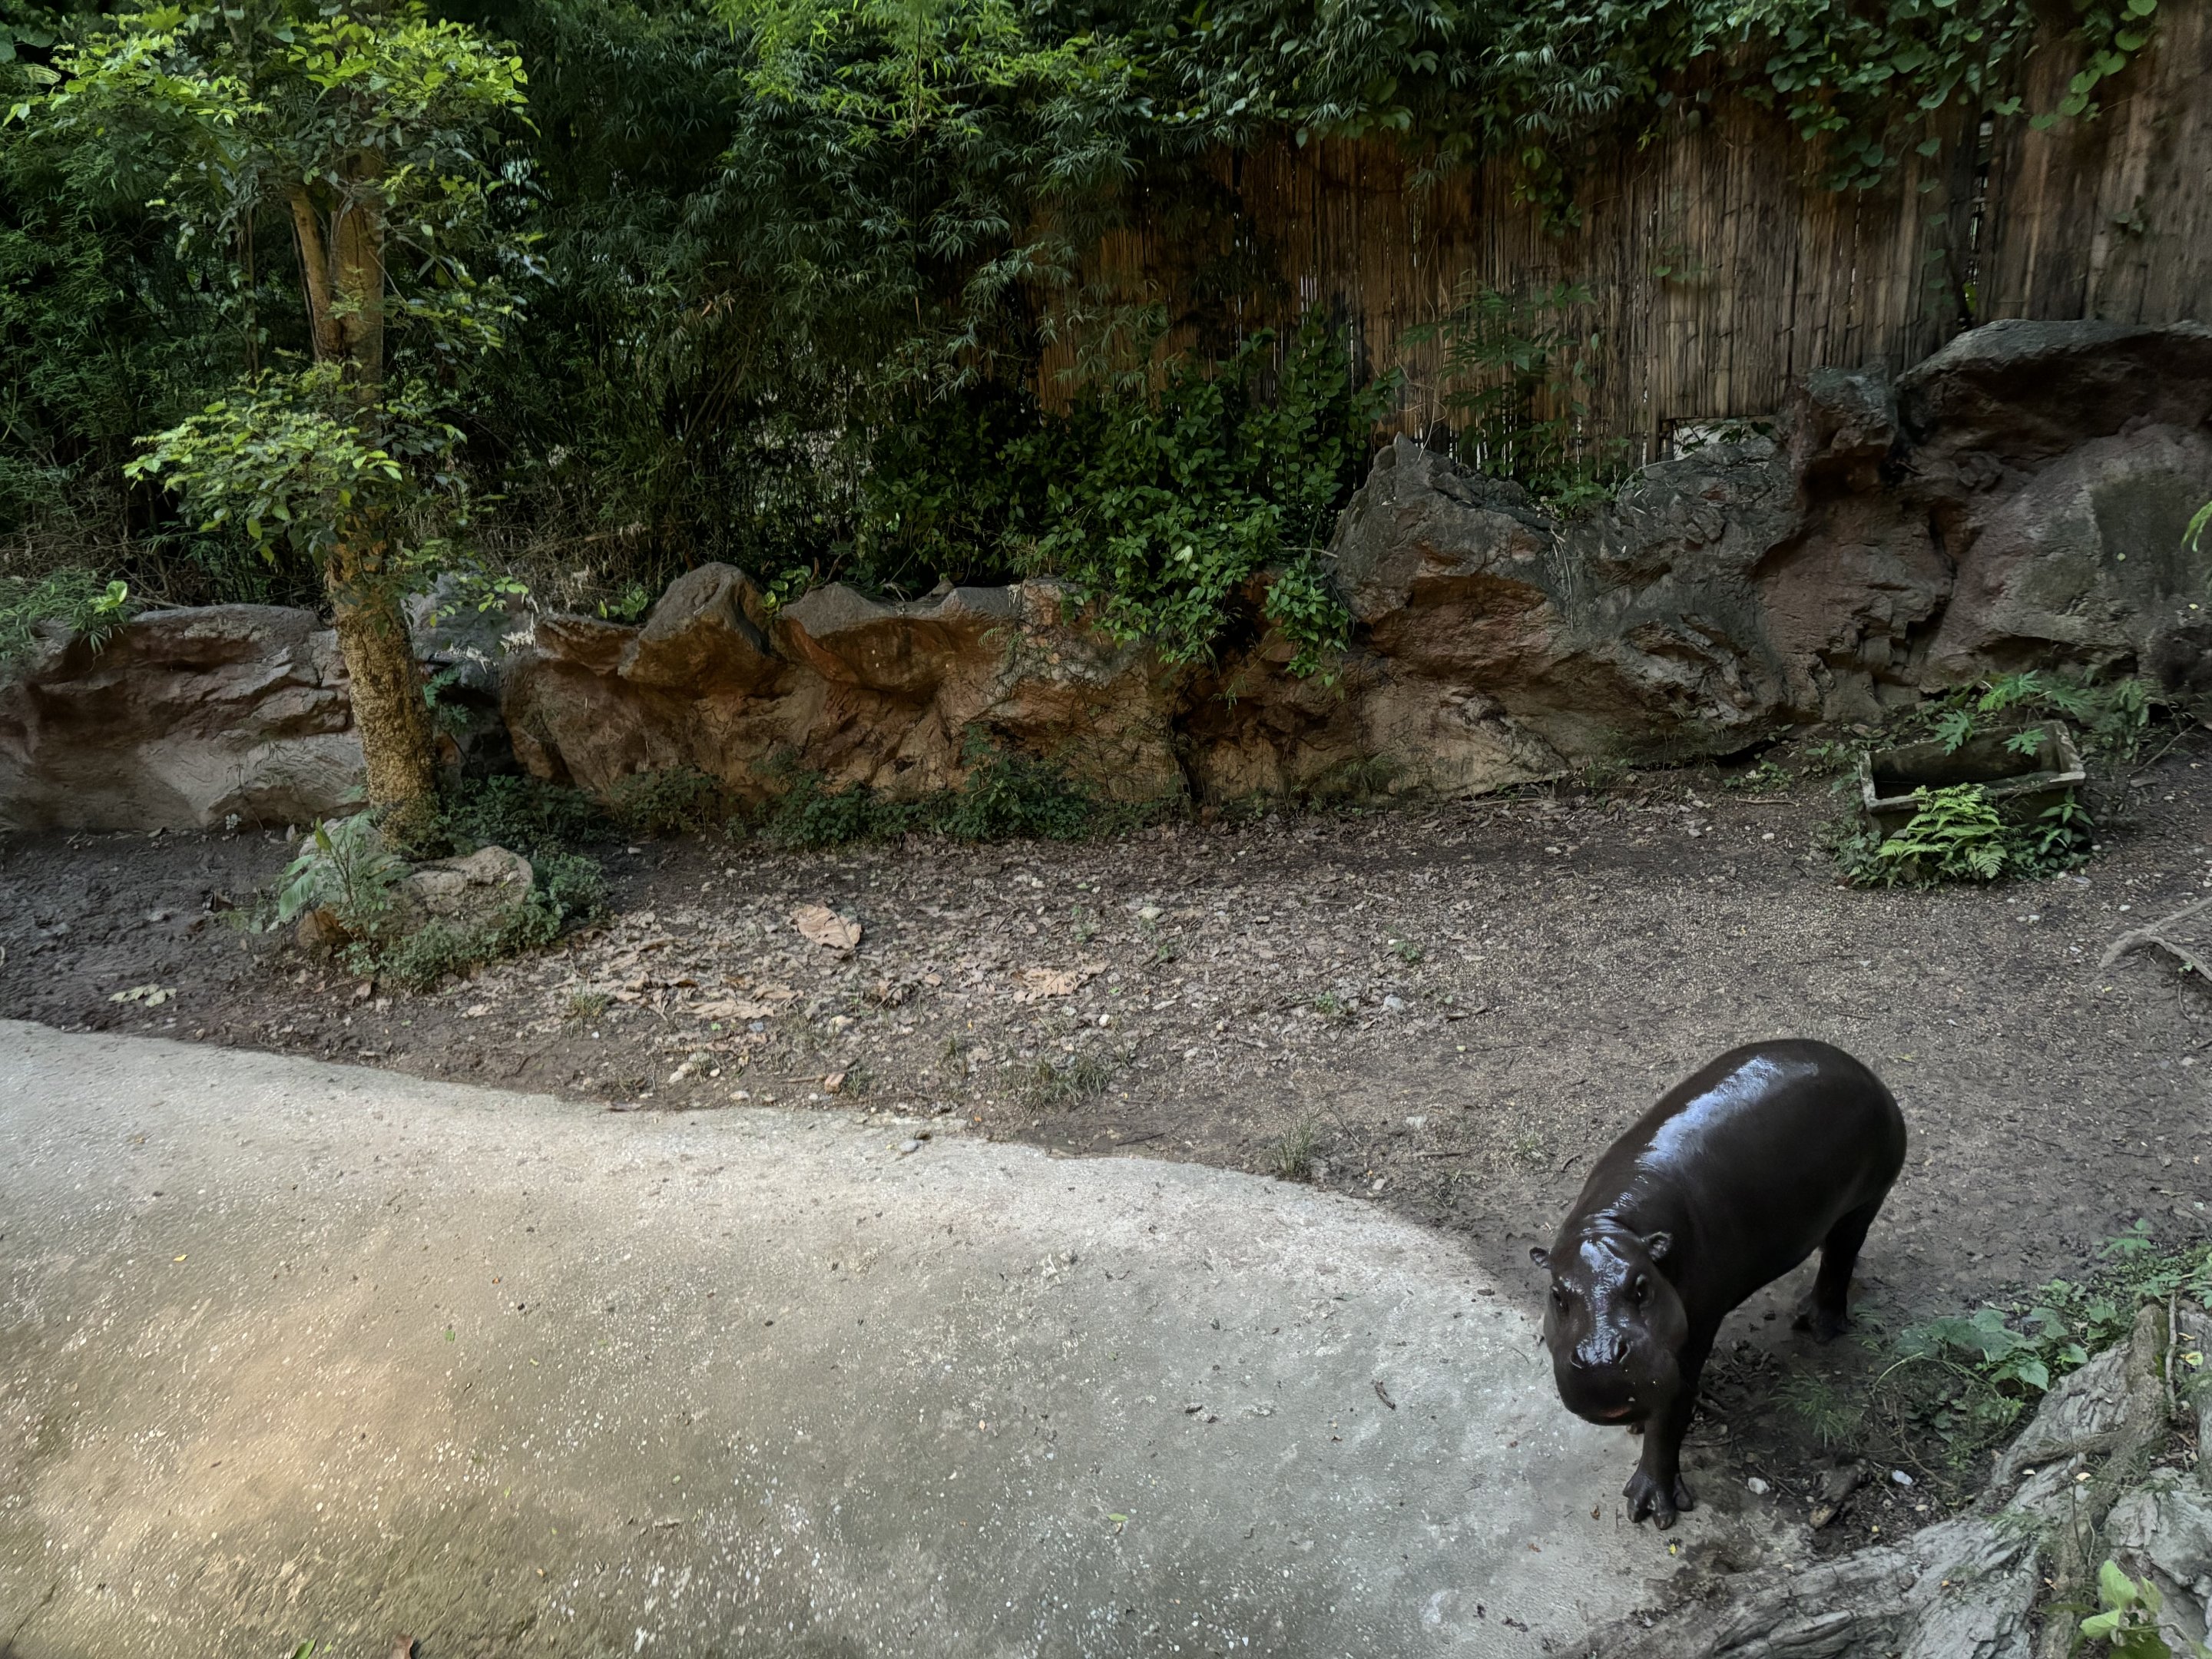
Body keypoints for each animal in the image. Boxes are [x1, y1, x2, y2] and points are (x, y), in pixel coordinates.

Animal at [1531, 1039, 1907, 1527]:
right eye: (1557, 1294)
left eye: (1641, 1287)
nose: (1600, 1362)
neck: (1617, 1226)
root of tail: (1859, 1066)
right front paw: (1637, 1423)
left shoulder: (1696, 1327)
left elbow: (1672, 1411)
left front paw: (1652, 1506)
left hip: (1867, 1200)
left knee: (1842, 1255)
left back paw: (1819, 1327)